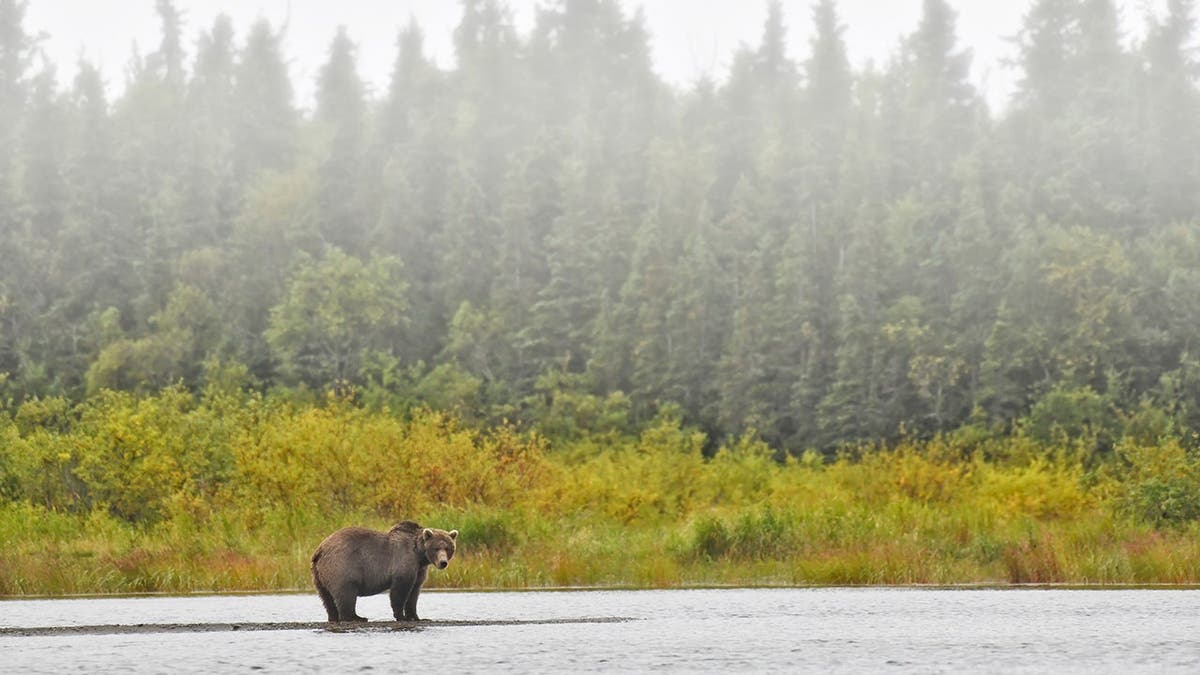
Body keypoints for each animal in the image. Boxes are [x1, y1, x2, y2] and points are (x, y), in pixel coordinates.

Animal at [311, 520, 458, 622]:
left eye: (448, 548)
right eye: (436, 548)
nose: (443, 563)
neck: (419, 555)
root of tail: (320, 549)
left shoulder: (420, 570)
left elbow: (414, 593)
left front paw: (416, 617)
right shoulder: (403, 561)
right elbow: (400, 590)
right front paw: (401, 616)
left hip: (319, 575)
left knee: (326, 597)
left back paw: (334, 616)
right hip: (343, 566)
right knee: (346, 593)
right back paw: (356, 617)